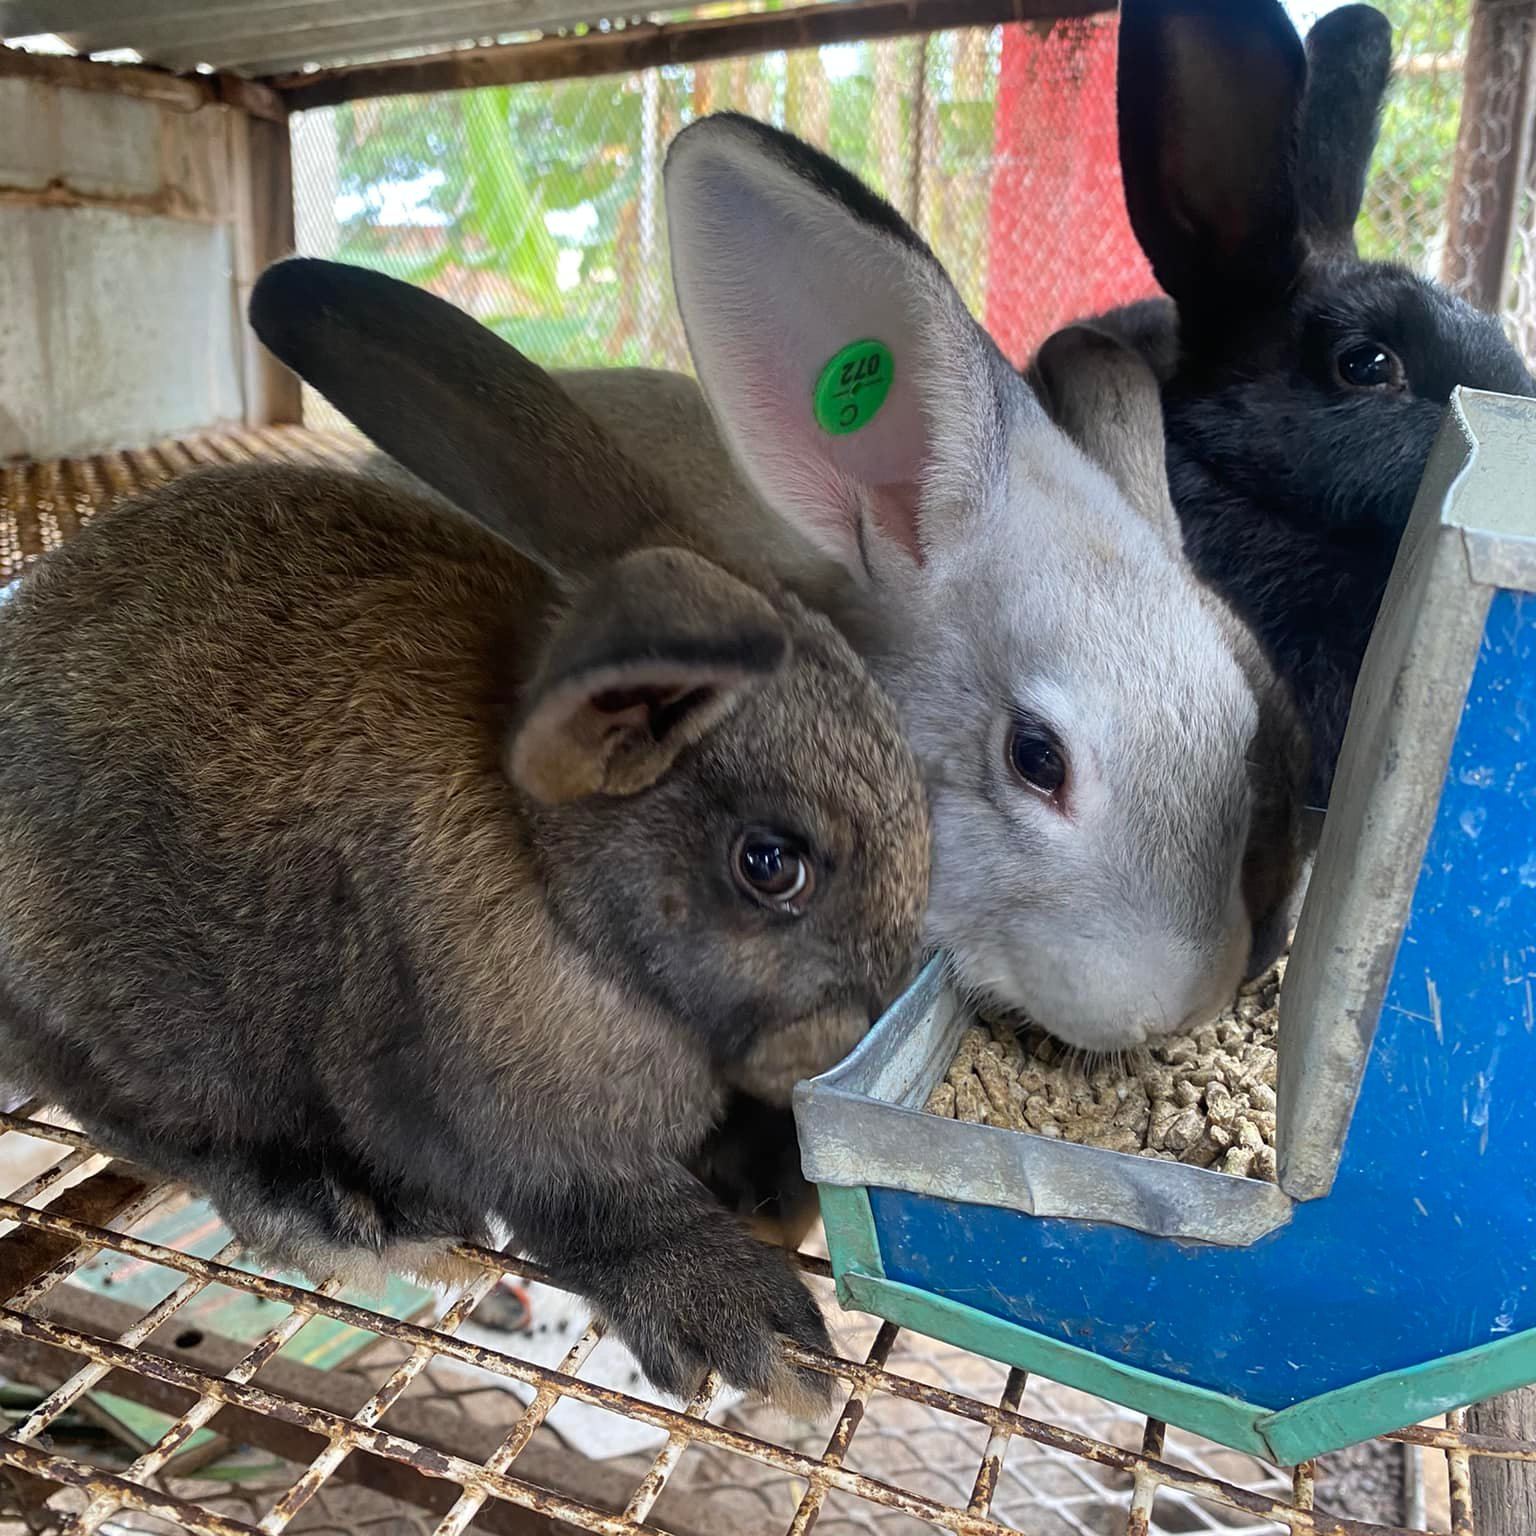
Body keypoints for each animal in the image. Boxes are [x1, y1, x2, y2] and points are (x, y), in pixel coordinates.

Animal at [0, 335, 932, 1411]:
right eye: (770, 865)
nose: (863, 1027)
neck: (557, 881)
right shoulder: (511, 1130)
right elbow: (611, 1215)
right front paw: (766, 1340)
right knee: (146, 1116)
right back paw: (342, 1214)